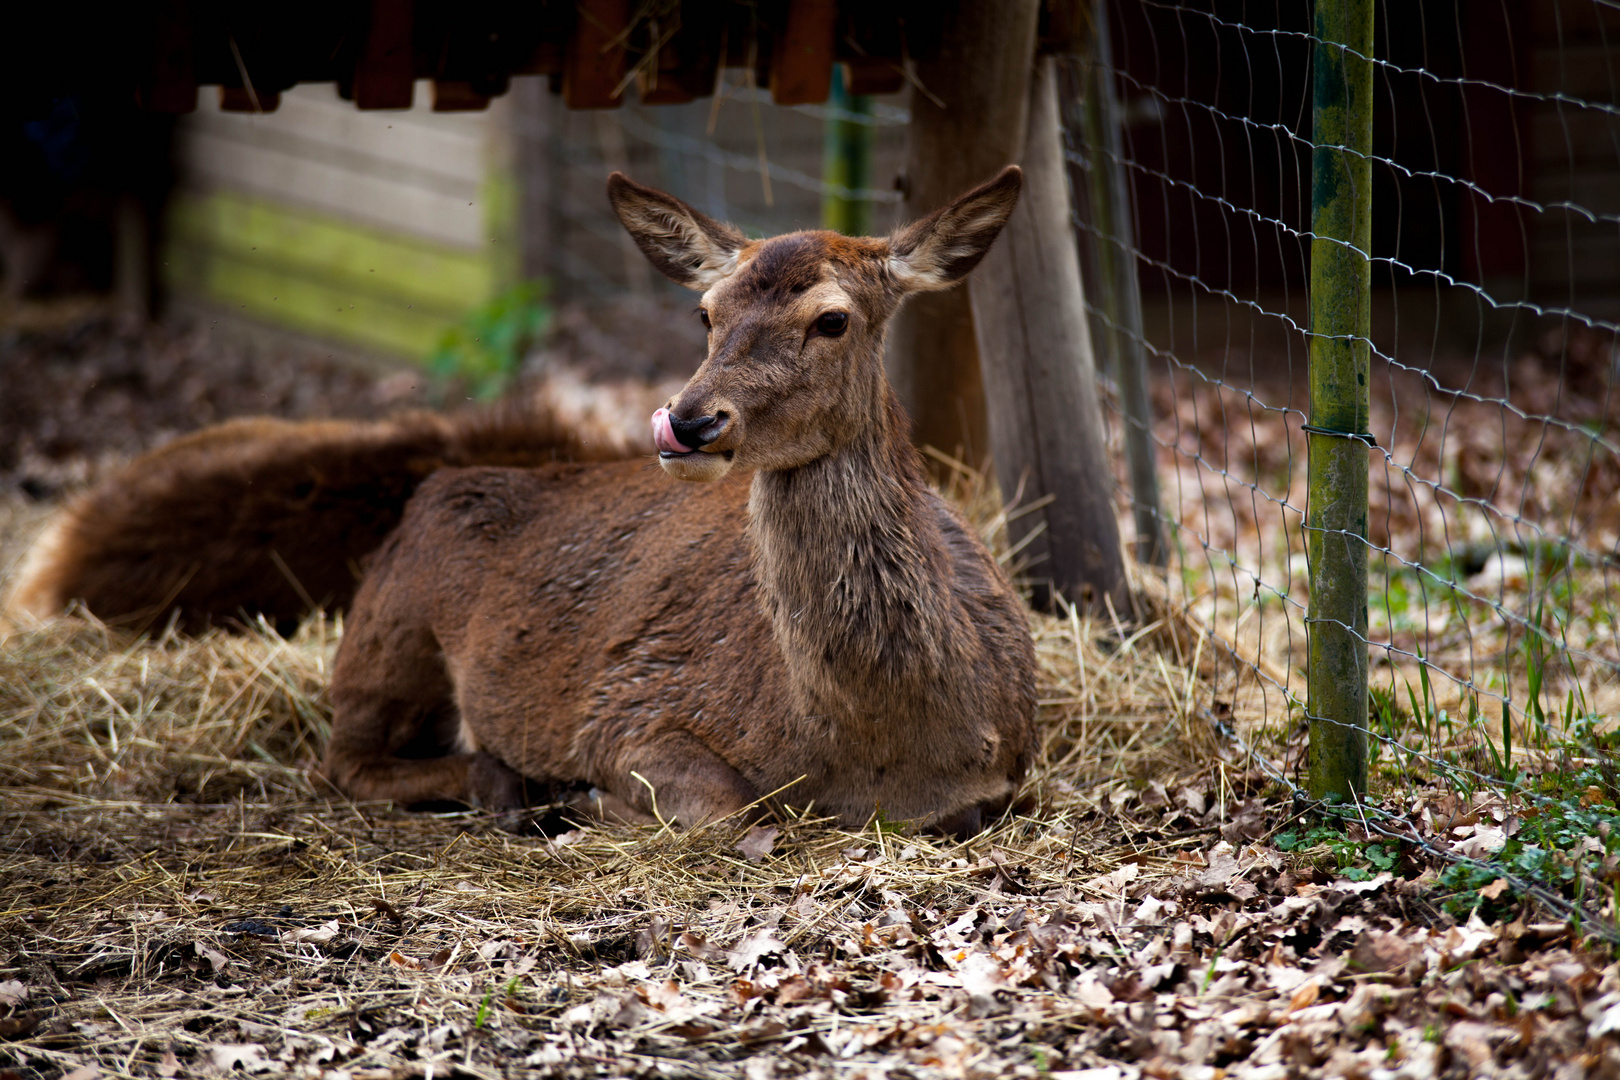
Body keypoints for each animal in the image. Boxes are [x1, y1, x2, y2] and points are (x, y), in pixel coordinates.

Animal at [6, 166, 1030, 835]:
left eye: (832, 319)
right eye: (705, 313)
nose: (687, 421)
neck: (871, 748)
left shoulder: (1011, 768)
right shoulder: (629, 708)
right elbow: (725, 813)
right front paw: (586, 800)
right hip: (390, 627)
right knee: (344, 760)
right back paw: (507, 788)